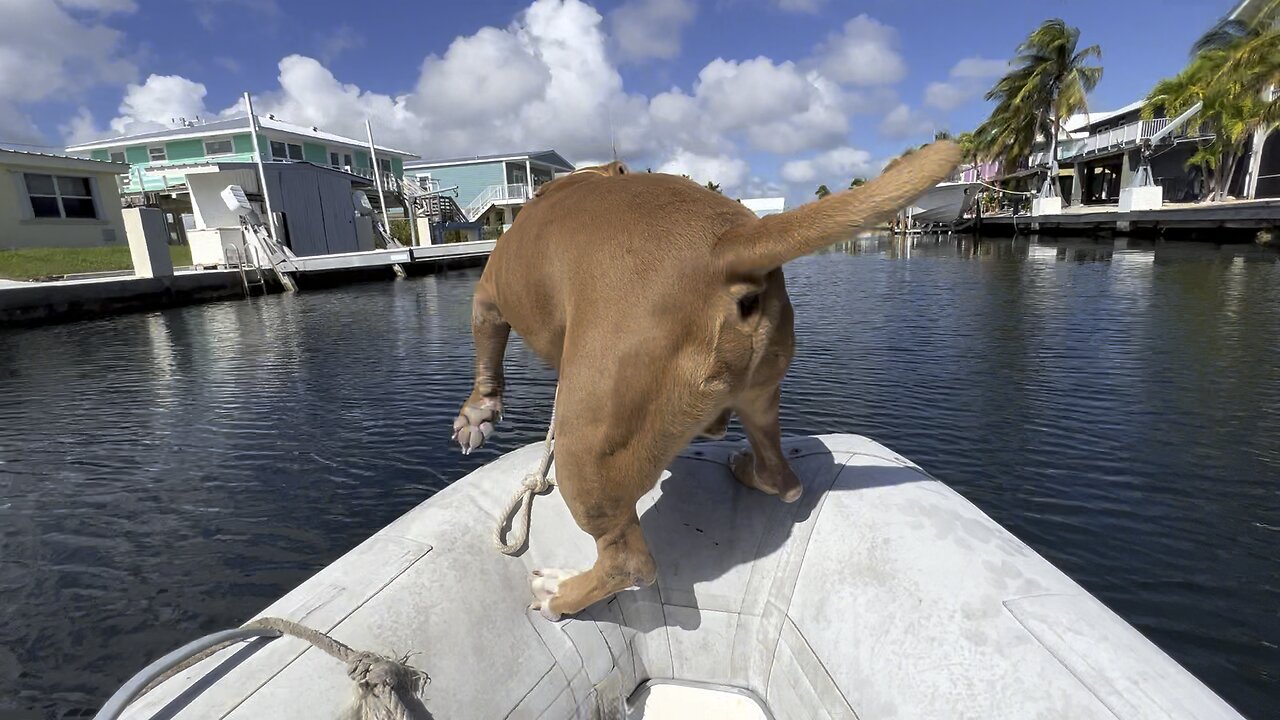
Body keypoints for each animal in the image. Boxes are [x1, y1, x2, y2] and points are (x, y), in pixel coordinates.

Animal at [453, 139, 962, 617]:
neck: (583, 177)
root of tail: (727, 243)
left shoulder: (489, 297)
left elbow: (486, 357)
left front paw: (477, 416)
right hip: (762, 394)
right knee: (785, 478)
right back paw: (750, 470)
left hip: (586, 450)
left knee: (630, 563)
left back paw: (561, 594)